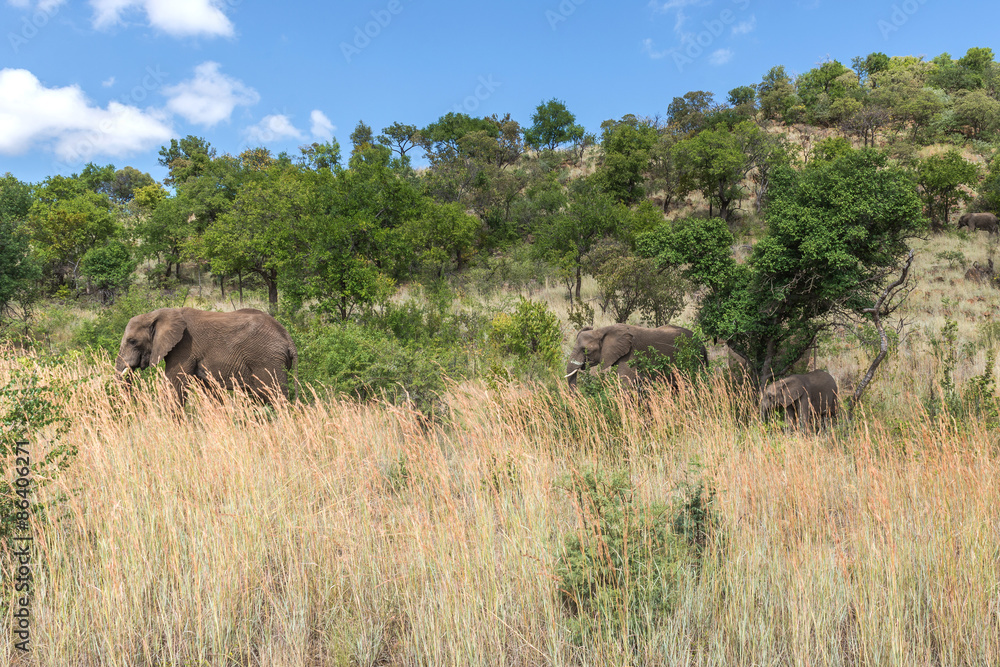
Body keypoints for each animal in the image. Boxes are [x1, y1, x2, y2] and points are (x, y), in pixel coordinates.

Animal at [115, 307, 298, 405]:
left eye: (132, 341)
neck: (157, 314)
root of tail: (288, 339)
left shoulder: (184, 348)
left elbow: (175, 385)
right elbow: (210, 391)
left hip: (267, 360)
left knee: (275, 395)